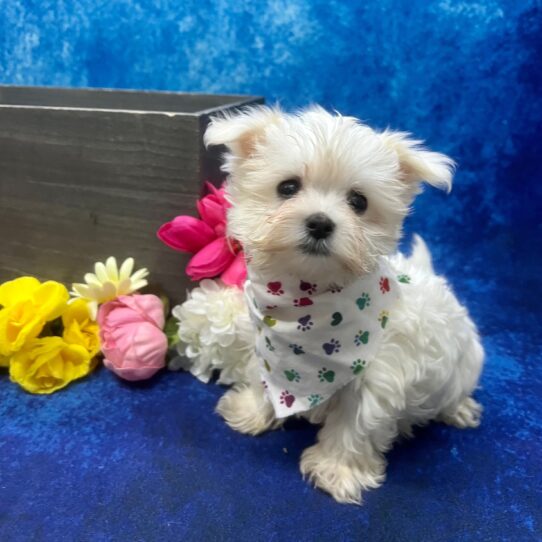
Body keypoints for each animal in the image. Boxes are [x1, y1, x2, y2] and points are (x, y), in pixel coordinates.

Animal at [204, 105, 484, 506]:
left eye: (359, 202)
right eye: (287, 187)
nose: (320, 223)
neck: (307, 301)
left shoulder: (375, 379)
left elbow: (354, 426)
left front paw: (336, 470)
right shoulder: (268, 347)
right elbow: (264, 381)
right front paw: (252, 411)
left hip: (467, 362)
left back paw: (458, 408)